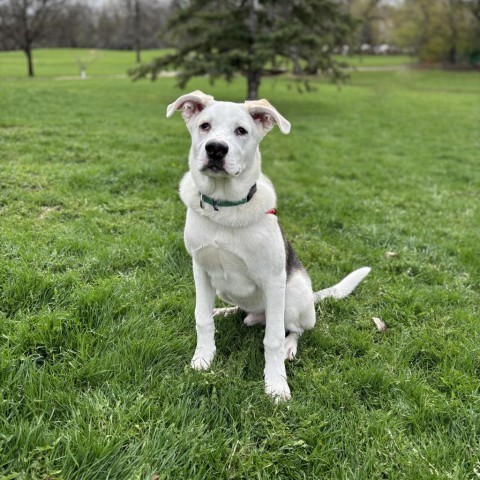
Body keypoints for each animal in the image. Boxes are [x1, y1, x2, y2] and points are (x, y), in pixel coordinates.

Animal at [166, 91, 372, 402]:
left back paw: (290, 346)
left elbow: (272, 339)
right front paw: (202, 358)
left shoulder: (273, 281)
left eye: (241, 131)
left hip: (293, 297)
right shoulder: (200, 269)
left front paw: (275, 384)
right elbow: (202, 319)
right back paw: (224, 311)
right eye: (204, 126)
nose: (215, 149)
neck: (224, 208)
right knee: (239, 310)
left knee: (297, 329)